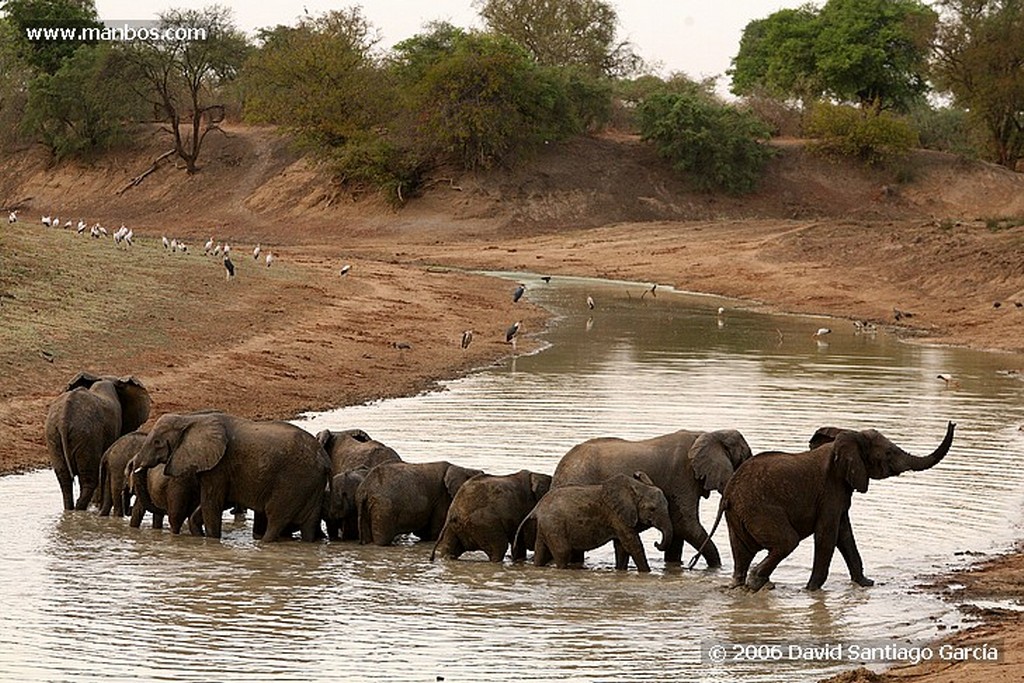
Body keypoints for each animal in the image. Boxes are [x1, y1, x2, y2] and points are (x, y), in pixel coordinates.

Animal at [43, 370, 150, 509]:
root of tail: (64, 420)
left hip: (53, 435)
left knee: (65, 478)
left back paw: (73, 509)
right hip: (87, 436)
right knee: (89, 479)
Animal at [132, 411, 329, 544]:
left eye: (157, 442)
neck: (190, 419)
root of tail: (325, 460)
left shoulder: (219, 465)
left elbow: (211, 503)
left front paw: (212, 541)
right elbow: (204, 507)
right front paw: (199, 536)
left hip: (293, 482)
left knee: (275, 519)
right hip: (311, 485)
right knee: (309, 525)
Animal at [512, 471, 671, 573]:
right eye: (652, 509)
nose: (656, 543)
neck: (637, 487)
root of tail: (536, 508)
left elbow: (622, 547)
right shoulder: (616, 515)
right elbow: (632, 544)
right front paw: (647, 573)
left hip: (547, 526)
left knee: (541, 552)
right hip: (554, 525)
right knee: (563, 552)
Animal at [552, 430, 753, 569]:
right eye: (745, 458)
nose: (655, 543)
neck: (709, 434)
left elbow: (678, 531)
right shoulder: (682, 476)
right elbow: (685, 525)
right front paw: (716, 568)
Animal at [724, 419, 954, 589]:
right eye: (888, 453)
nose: (952, 423)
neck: (848, 437)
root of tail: (729, 493)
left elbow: (845, 534)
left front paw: (866, 584)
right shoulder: (830, 488)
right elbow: (828, 534)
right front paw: (811, 590)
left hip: (739, 514)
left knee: (741, 552)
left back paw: (742, 585)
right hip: (759, 509)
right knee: (787, 542)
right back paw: (756, 581)